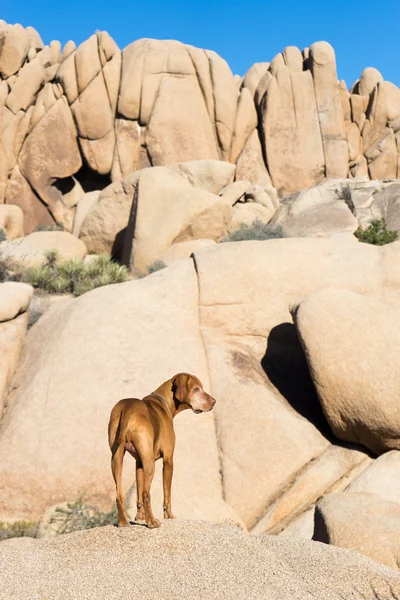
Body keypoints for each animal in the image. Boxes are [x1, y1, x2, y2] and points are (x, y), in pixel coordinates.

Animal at [108, 372, 217, 528]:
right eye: (196, 389)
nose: (214, 401)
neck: (165, 402)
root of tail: (127, 407)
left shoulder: (139, 463)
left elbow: (138, 493)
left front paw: (140, 517)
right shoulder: (168, 460)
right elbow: (167, 492)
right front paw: (169, 515)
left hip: (116, 459)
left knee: (120, 494)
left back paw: (123, 522)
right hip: (150, 464)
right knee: (147, 493)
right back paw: (152, 522)